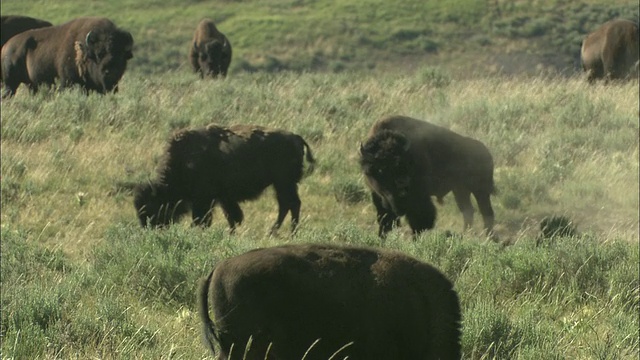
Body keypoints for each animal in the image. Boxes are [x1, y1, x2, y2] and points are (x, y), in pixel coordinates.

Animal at [1, 16, 133, 97]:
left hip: (31, 85)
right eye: (99, 54)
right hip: (10, 83)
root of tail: (6, 46)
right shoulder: (67, 81)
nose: (111, 72)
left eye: (121, 56)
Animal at [133, 122, 316, 232]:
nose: (149, 228)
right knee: (287, 205)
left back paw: (282, 232)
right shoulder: (223, 198)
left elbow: (202, 219)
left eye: (152, 207)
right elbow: (233, 217)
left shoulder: (205, 200)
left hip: (284, 183)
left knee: (290, 204)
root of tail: (297, 137)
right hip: (283, 184)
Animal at [360, 116, 496, 239]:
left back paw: (490, 238)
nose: (403, 185)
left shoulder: (419, 197)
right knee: (468, 211)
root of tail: (487, 153)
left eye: (402, 164)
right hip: (460, 191)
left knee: (486, 212)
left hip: (480, 191)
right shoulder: (378, 196)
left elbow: (420, 219)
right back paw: (467, 234)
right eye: (381, 169)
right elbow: (385, 220)